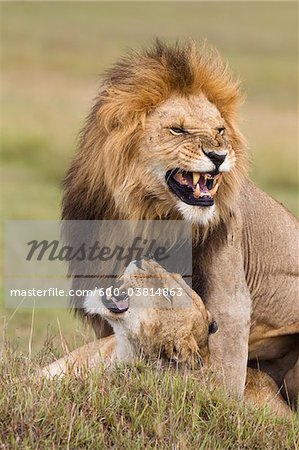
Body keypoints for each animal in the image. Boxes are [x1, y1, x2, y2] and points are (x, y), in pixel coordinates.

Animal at [62, 41, 299, 400]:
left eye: (219, 130)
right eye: (178, 129)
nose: (219, 155)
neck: (149, 219)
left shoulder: (228, 303)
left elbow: (223, 379)